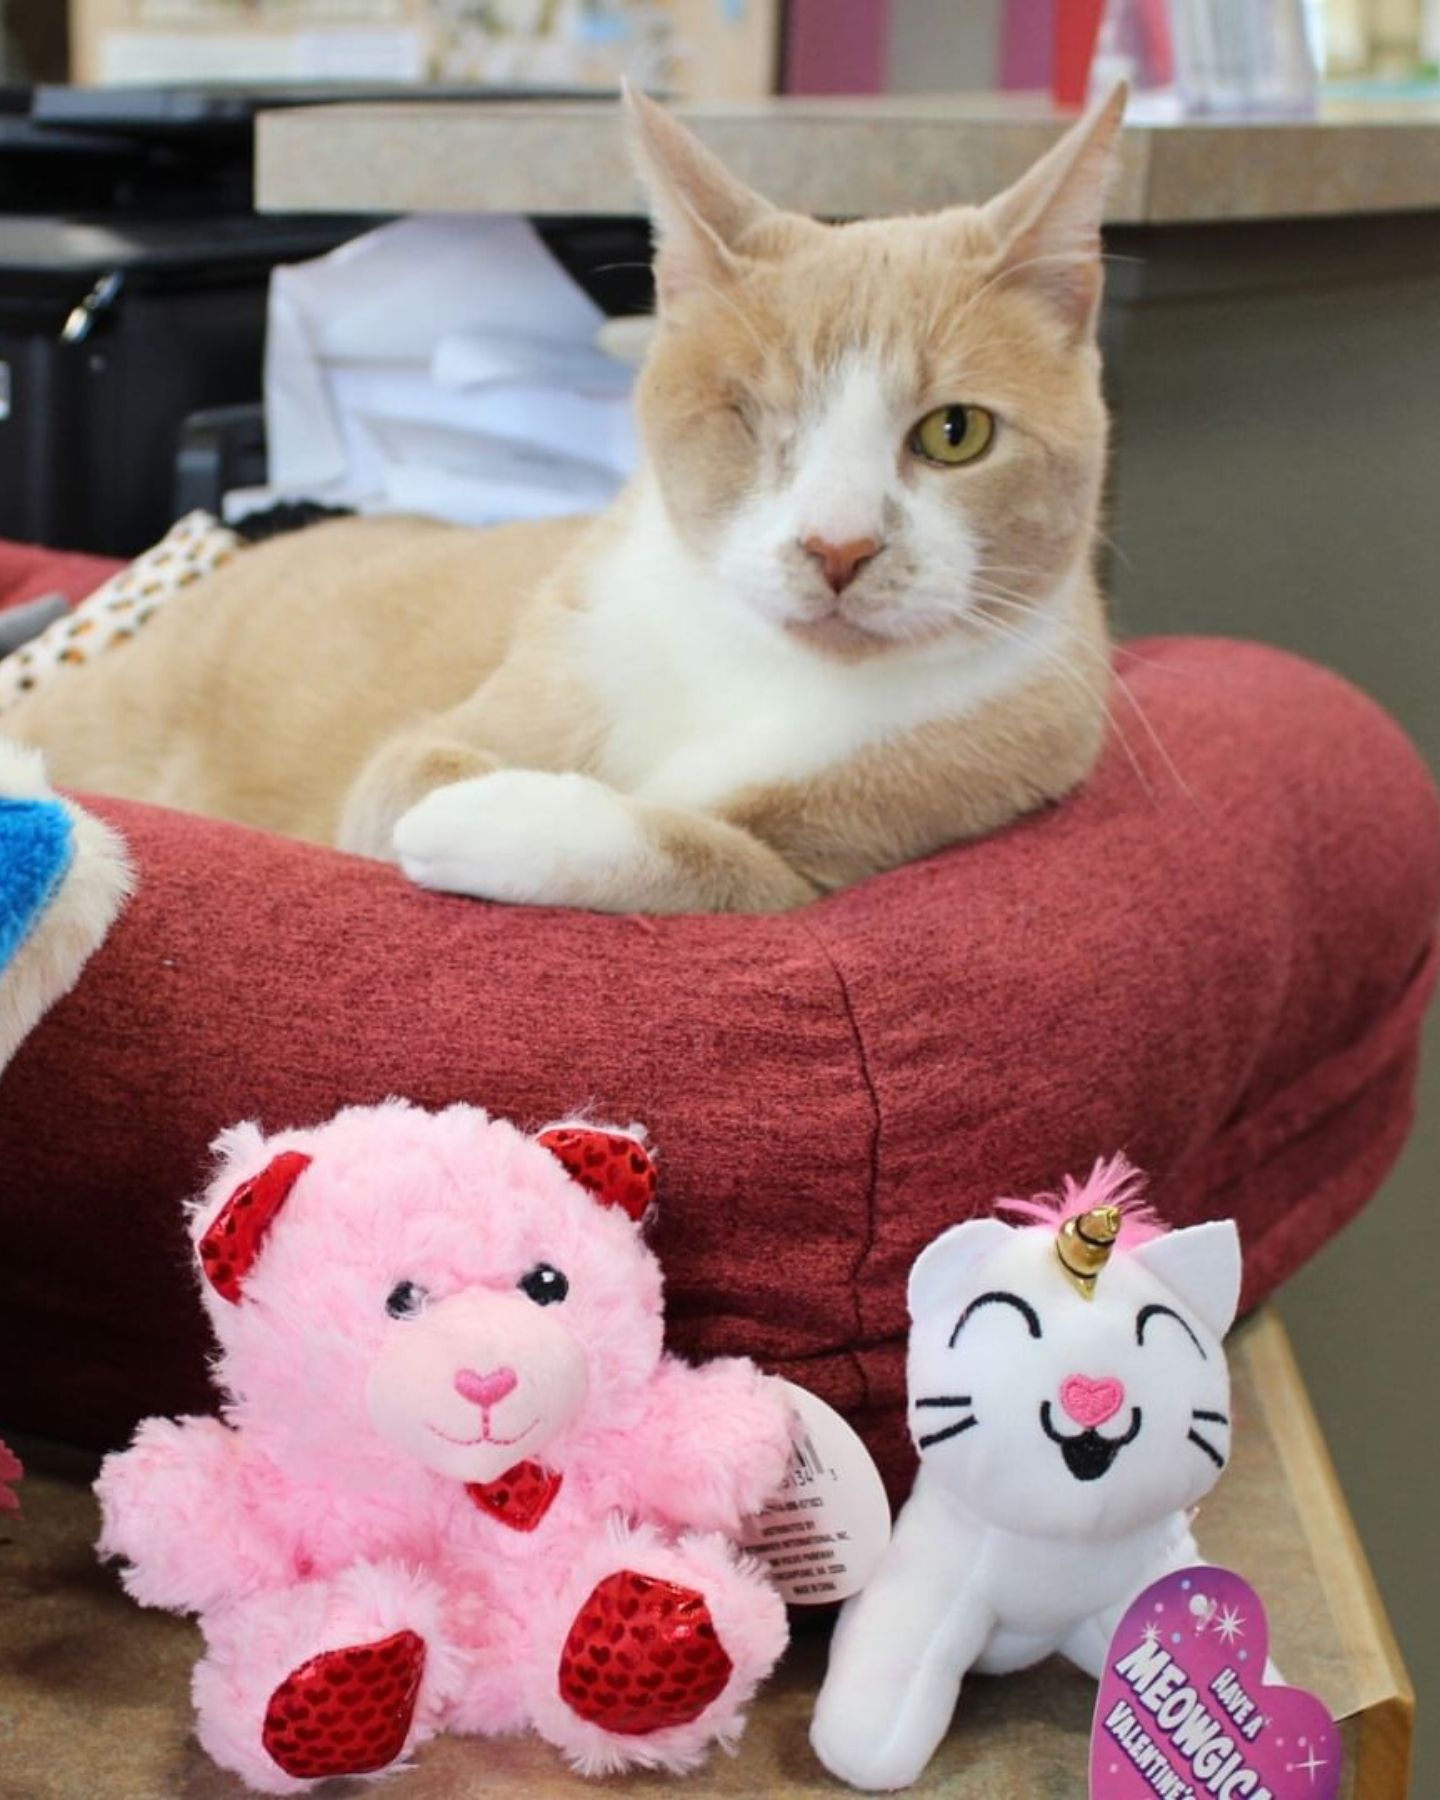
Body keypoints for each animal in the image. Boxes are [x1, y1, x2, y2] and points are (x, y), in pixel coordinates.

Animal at [11, 85, 1130, 914]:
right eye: (752, 415)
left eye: (955, 434)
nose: (839, 546)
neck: (758, 667)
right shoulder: (480, 705)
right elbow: (404, 777)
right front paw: (465, 802)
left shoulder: (825, 869)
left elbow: (711, 857)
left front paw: (507, 818)